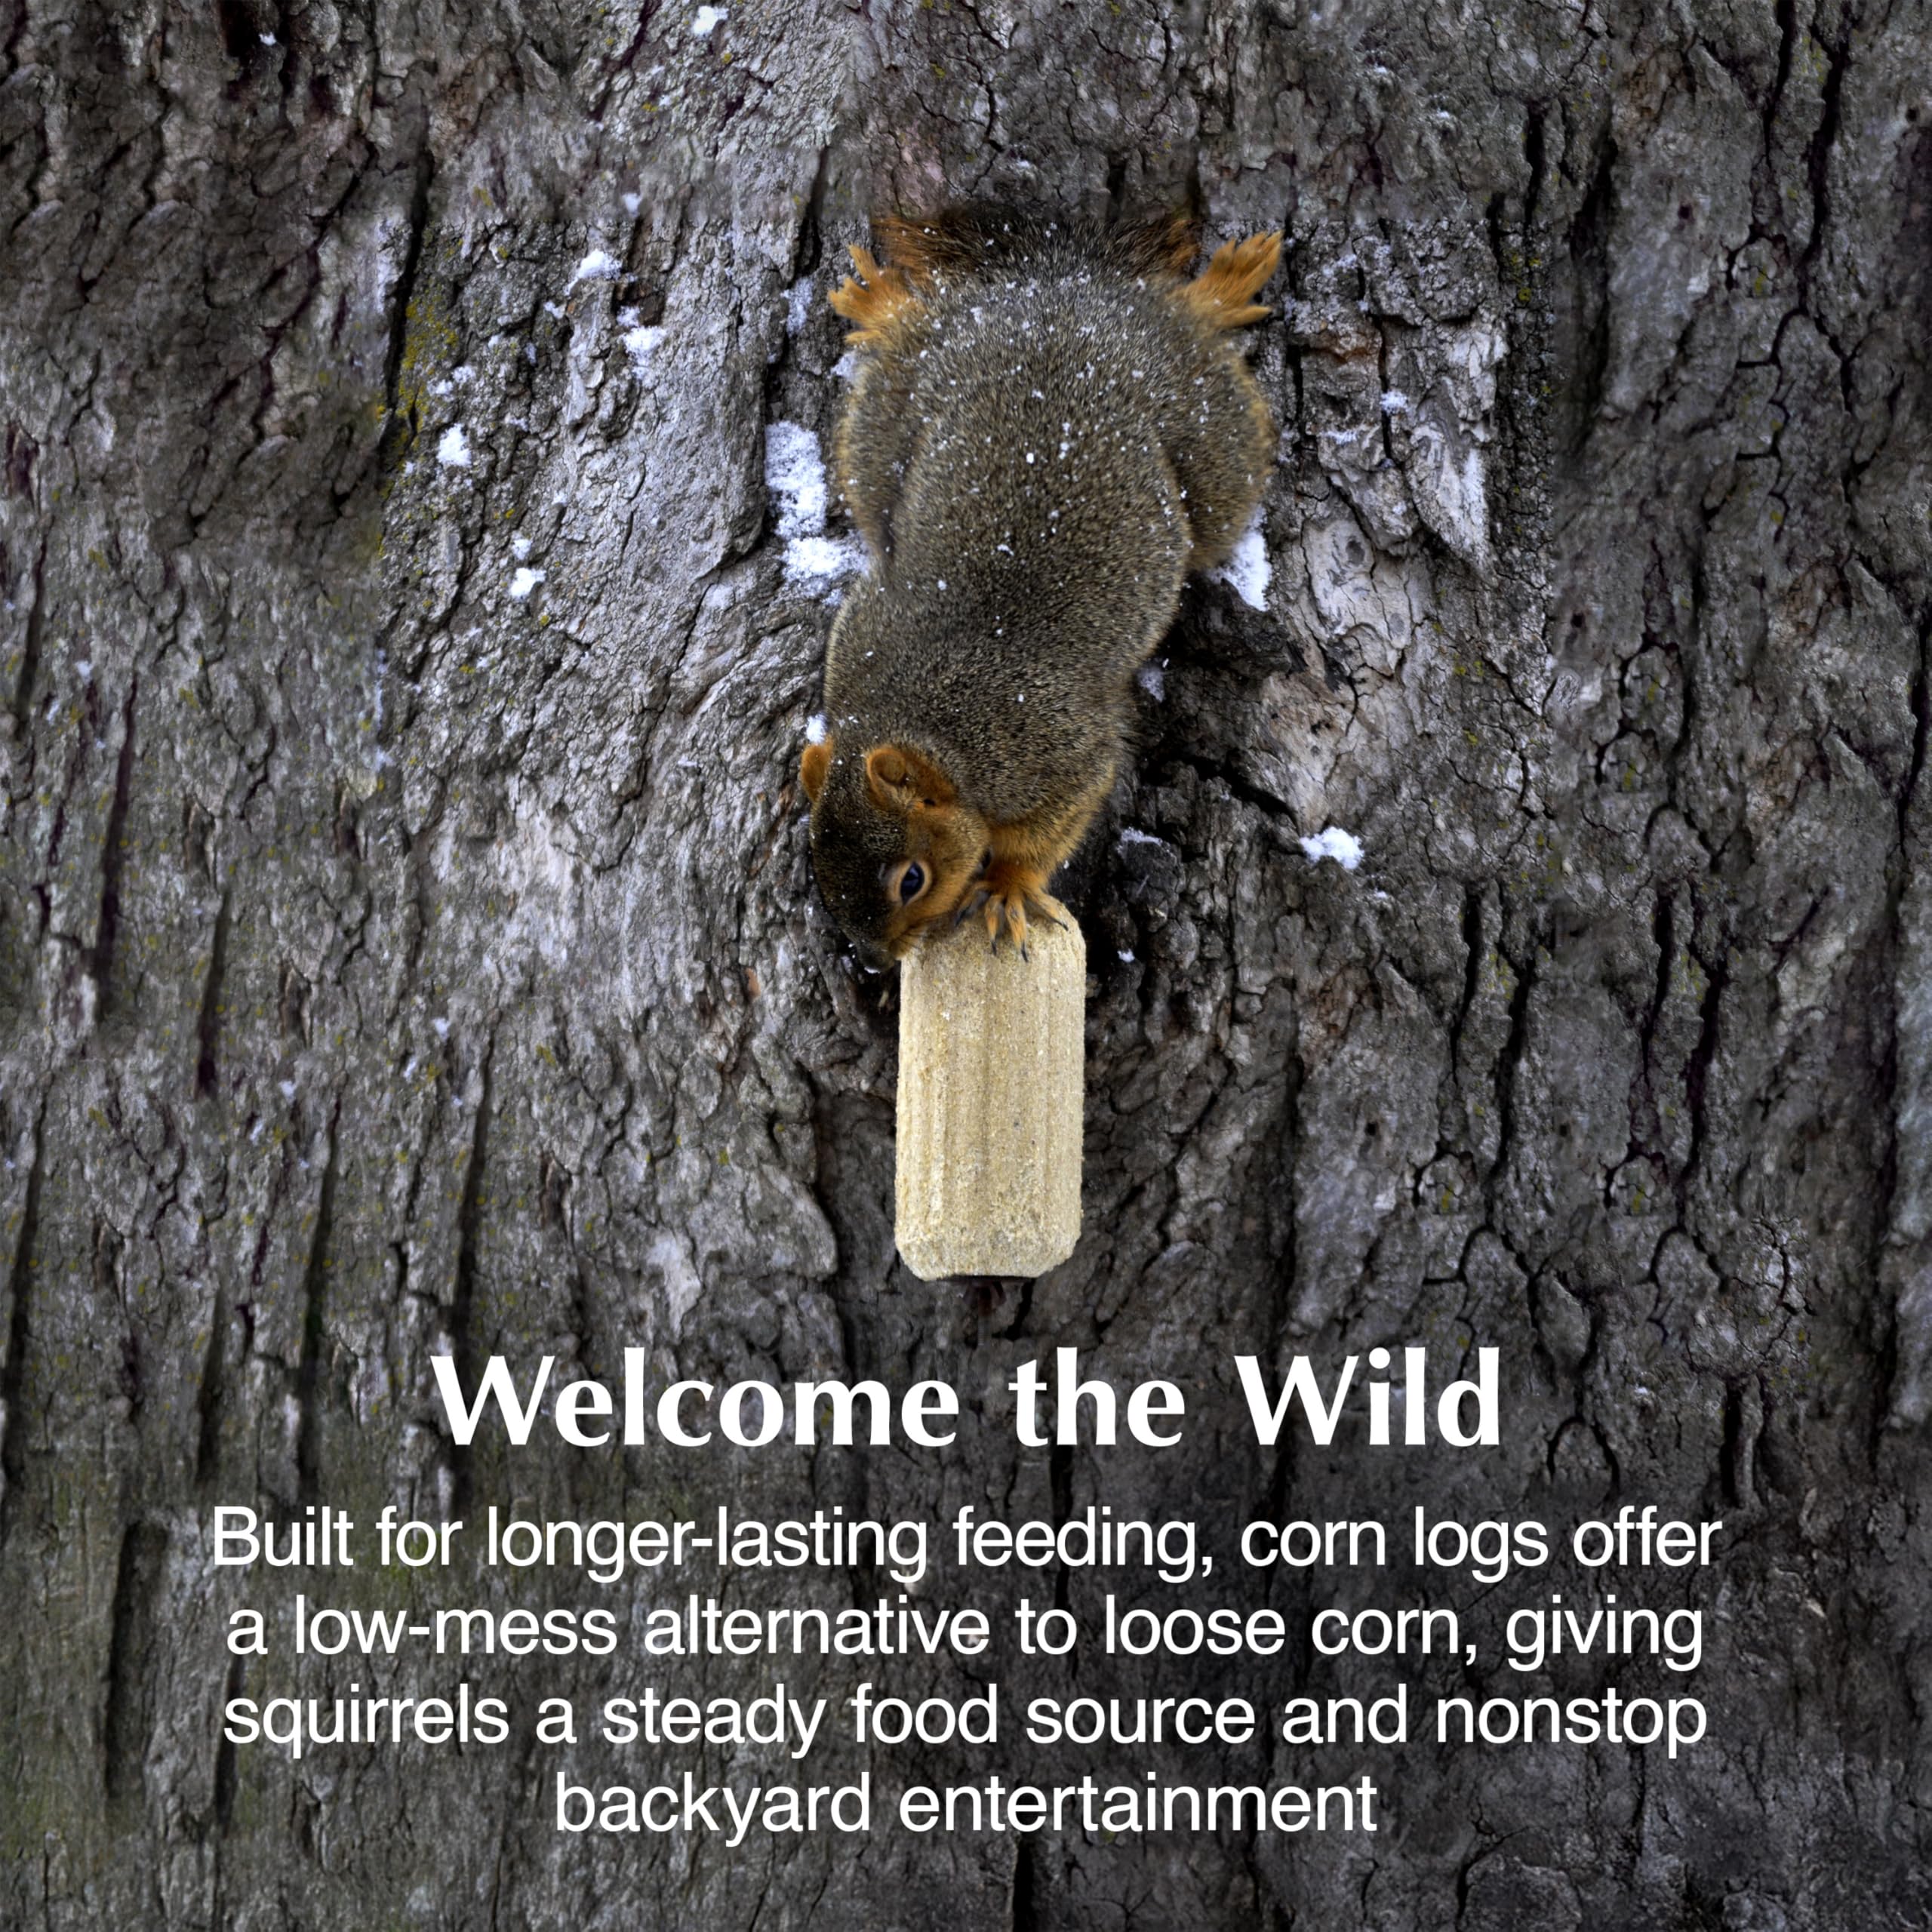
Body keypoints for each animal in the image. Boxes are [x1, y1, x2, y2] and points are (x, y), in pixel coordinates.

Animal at [796, 205, 1281, 965]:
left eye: (912, 879)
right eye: (818, 861)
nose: (875, 960)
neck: (916, 711)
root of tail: (1056, 302)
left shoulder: (1054, 751)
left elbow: (1051, 827)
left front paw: (1009, 887)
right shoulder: (857, 633)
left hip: (1211, 436)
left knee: (1200, 351)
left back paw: (1220, 292)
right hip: (887, 416)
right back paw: (883, 304)